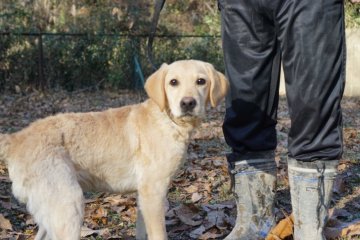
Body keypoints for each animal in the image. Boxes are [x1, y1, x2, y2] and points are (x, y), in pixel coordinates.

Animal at [0, 60, 229, 240]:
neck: (167, 119)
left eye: (201, 81)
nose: (188, 103)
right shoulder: (153, 193)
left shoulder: (144, 196)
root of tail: (16, 138)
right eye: (173, 82)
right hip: (68, 205)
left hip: (52, 212)